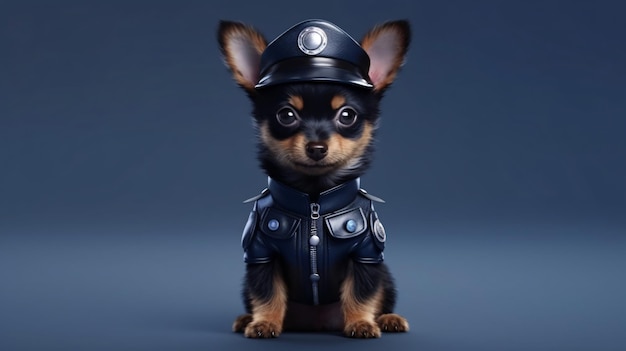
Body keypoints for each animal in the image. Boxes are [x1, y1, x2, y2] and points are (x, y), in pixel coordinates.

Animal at [218, 18, 410, 338]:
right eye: (286, 115)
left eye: (347, 115)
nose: (317, 147)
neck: (314, 199)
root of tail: (316, 322)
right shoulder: (261, 253)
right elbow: (268, 292)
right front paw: (264, 322)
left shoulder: (366, 255)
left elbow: (361, 292)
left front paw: (360, 323)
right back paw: (247, 318)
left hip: (385, 276)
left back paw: (387, 319)